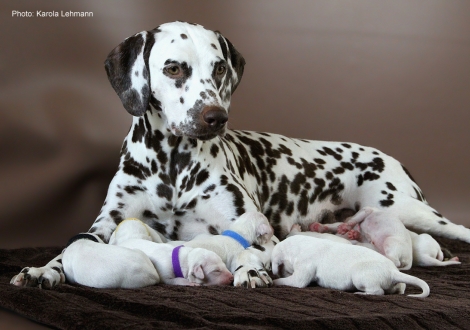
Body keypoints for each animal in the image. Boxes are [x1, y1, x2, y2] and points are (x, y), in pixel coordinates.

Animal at [10, 21, 470, 288]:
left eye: (218, 68)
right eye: (174, 68)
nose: (216, 116)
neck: (173, 168)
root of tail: (389, 156)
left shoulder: (248, 224)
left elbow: (249, 247)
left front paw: (251, 269)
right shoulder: (107, 223)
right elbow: (73, 245)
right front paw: (44, 268)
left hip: (411, 210)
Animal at [272, 236, 430, 298]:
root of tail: (392, 272)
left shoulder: (303, 269)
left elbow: (294, 281)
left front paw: (274, 281)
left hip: (360, 275)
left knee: (378, 291)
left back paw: (361, 293)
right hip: (397, 283)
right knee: (399, 288)